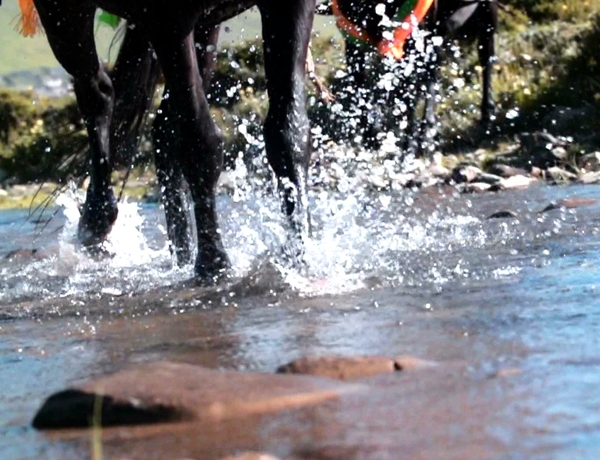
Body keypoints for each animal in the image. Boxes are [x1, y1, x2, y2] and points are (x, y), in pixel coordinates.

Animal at [31, 0, 318, 282]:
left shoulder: (288, 6)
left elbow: (288, 133)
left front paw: (298, 256)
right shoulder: (168, 21)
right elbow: (201, 141)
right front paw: (213, 263)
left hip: (206, 25)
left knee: (163, 127)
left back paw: (182, 254)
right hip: (63, 14)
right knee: (97, 94)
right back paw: (96, 220)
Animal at [318, 0, 496, 155]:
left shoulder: (413, 41)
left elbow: (409, 101)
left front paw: (409, 147)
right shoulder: (354, 40)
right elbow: (361, 92)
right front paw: (372, 138)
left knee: (486, 55)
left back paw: (487, 114)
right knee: (433, 71)